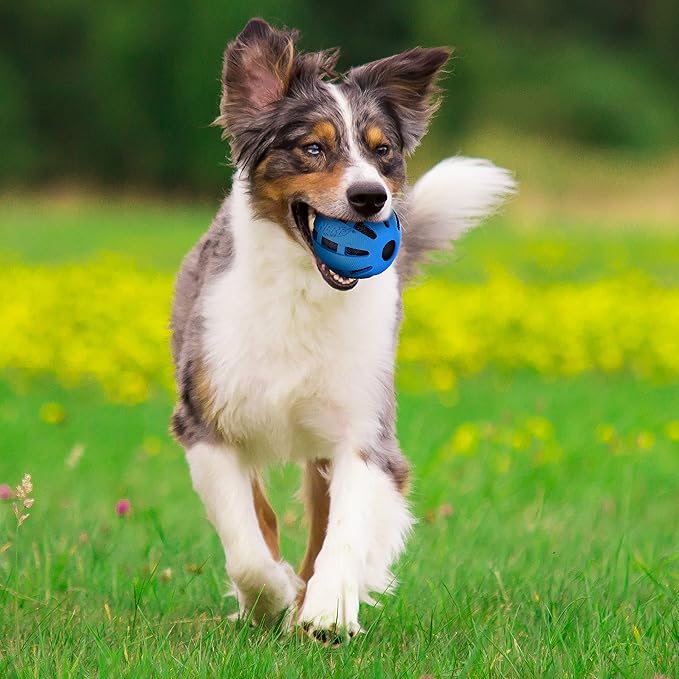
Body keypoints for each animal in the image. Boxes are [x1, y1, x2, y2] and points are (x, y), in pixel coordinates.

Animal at [171, 15, 516, 644]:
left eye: (383, 153)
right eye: (313, 148)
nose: (370, 197)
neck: (304, 292)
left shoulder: (364, 430)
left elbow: (346, 530)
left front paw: (328, 611)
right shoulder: (206, 421)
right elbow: (248, 546)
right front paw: (272, 599)